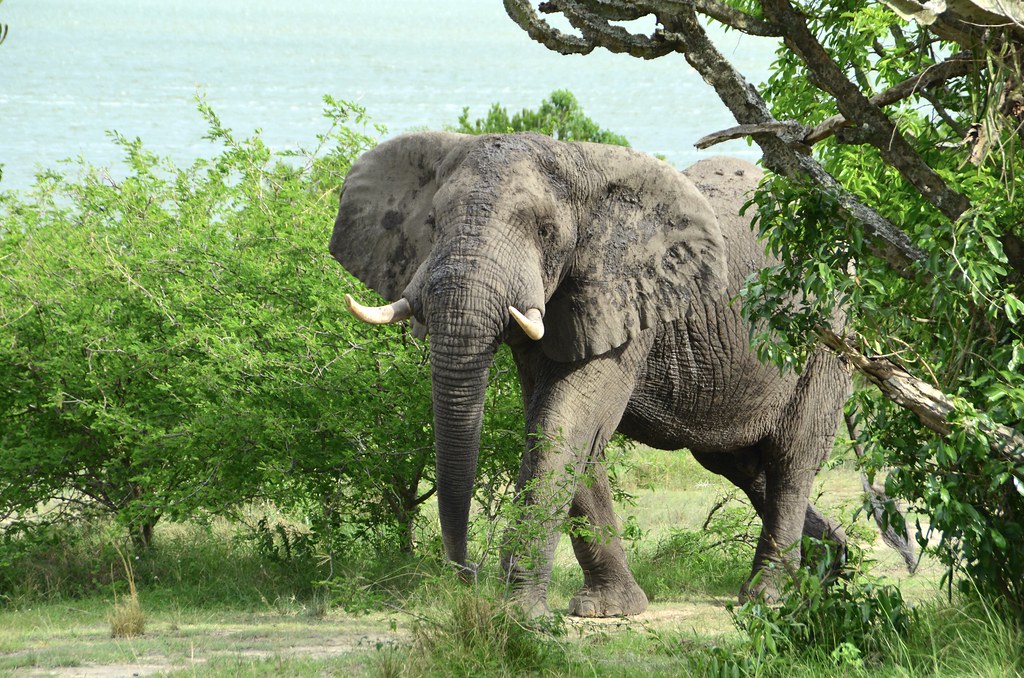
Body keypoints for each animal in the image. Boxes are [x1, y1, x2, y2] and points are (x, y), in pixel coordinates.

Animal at [329, 131, 851, 617]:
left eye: (544, 231)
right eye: (433, 224)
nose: (469, 574)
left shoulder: (628, 298)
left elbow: (563, 421)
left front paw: (521, 615)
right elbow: (567, 431)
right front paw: (610, 609)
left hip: (826, 338)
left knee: (790, 460)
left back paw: (768, 598)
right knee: (739, 465)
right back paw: (833, 565)